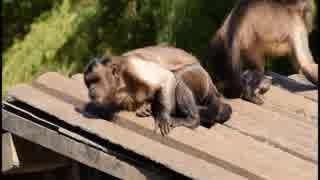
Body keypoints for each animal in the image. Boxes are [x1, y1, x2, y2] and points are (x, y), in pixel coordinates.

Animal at [84, 45, 231, 136]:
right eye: (88, 83)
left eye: (96, 80)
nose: (91, 89)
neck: (122, 82)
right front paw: (143, 107)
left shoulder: (134, 67)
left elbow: (167, 78)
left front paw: (163, 116)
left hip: (200, 77)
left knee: (177, 77)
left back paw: (192, 120)